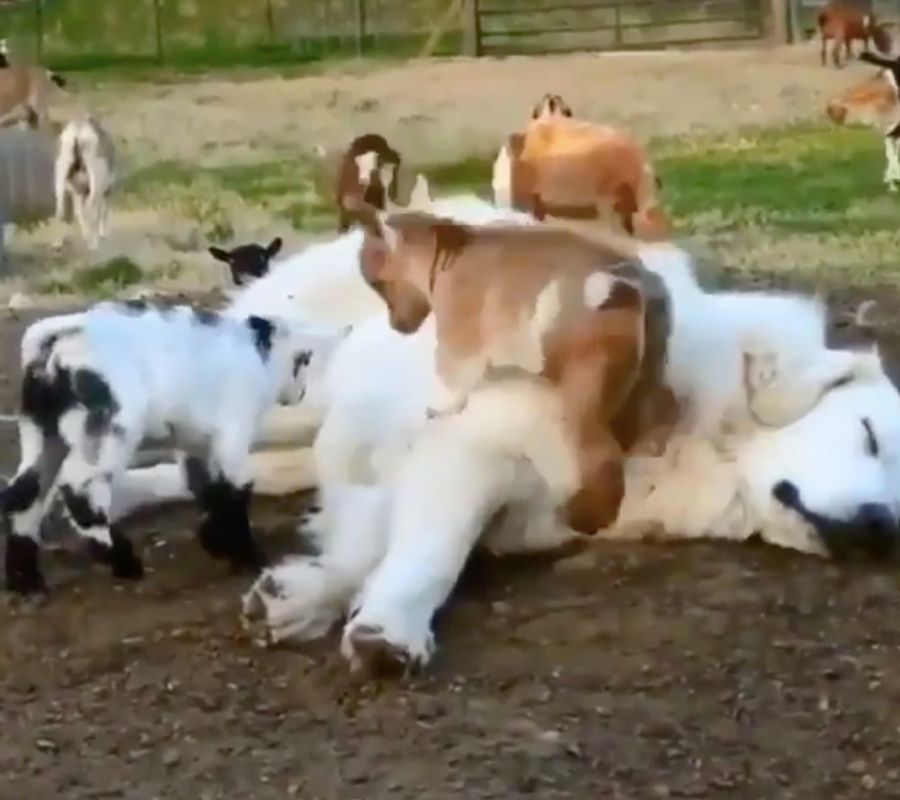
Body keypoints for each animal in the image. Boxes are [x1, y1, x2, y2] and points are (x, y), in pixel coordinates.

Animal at [1, 300, 346, 596]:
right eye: (304, 359)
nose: (300, 392)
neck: (256, 354)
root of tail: (52, 342)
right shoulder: (233, 432)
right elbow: (235, 491)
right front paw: (246, 556)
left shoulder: (195, 442)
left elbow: (207, 488)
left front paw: (216, 542)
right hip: (108, 429)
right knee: (77, 488)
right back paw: (120, 558)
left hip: (42, 433)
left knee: (26, 491)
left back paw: (25, 579)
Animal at [53, 114, 116, 249]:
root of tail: (78, 133)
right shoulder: (102, 191)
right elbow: (101, 211)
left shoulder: (77, 192)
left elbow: (78, 212)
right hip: (95, 182)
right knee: (90, 209)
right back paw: (93, 244)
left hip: (61, 176)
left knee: (60, 210)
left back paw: (57, 244)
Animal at [351, 202, 675, 536]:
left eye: (377, 284)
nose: (396, 326)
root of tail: (631, 283)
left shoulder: (458, 339)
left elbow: (449, 381)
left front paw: (437, 410)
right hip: (648, 374)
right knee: (654, 413)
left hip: (586, 385)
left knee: (601, 453)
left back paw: (586, 515)